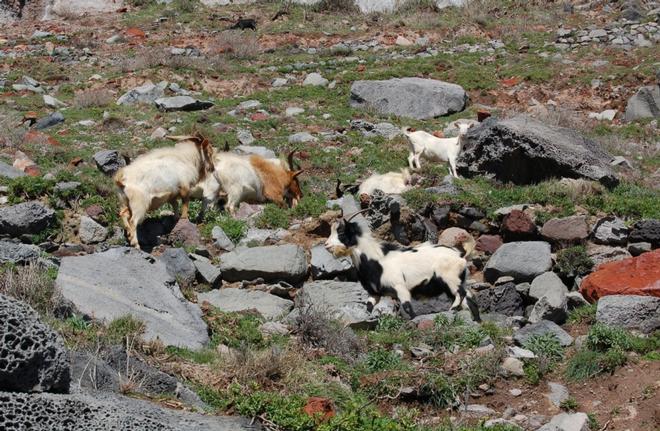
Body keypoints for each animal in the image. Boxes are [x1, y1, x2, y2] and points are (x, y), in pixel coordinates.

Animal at [324, 211, 480, 322]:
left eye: (341, 233)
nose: (326, 245)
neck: (376, 261)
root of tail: (460, 255)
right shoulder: (374, 293)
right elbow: (368, 307)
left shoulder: (400, 287)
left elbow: (408, 308)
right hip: (459, 281)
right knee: (471, 299)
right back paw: (477, 321)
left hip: (450, 279)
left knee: (461, 294)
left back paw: (452, 309)